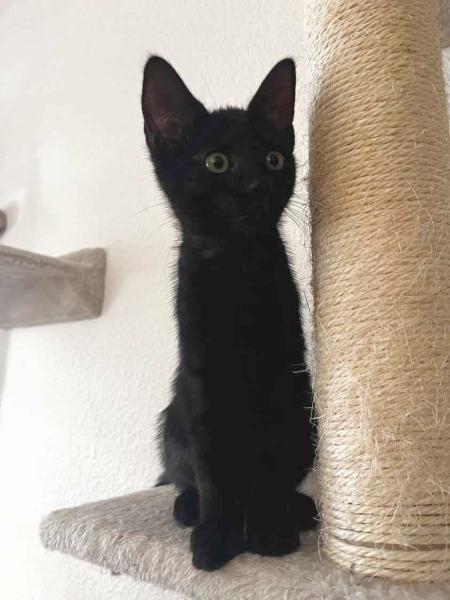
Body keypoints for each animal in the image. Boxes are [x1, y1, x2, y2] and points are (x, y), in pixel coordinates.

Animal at [141, 56, 316, 571]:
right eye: (216, 162)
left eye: (273, 159)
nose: (256, 186)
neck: (238, 267)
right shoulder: (203, 381)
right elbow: (213, 469)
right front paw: (217, 536)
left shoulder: (282, 377)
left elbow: (268, 467)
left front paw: (267, 530)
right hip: (173, 418)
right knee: (182, 475)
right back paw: (188, 508)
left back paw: (298, 508)